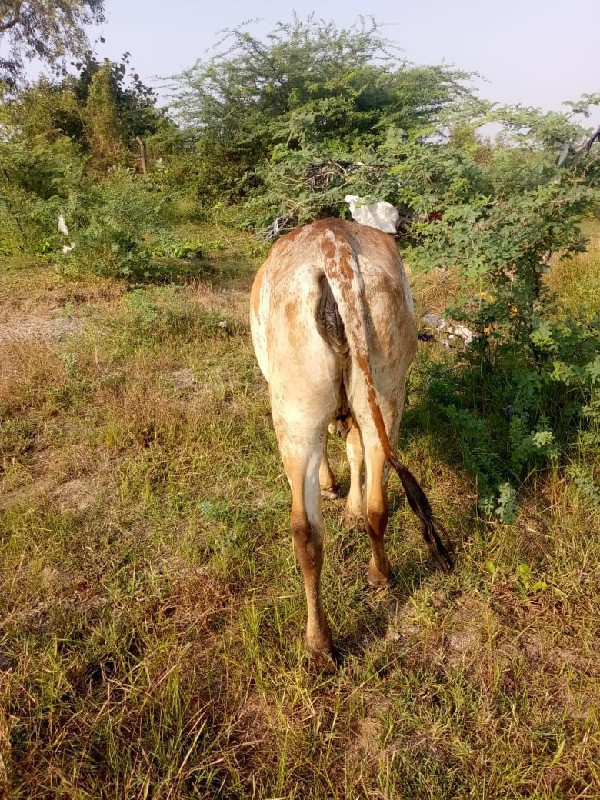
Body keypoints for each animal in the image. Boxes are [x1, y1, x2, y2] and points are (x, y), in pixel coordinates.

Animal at [250, 217, 454, 664]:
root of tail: (335, 249)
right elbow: (356, 452)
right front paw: (354, 513)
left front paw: (333, 489)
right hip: (386, 394)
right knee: (370, 501)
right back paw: (376, 578)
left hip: (293, 412)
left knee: (307, 526)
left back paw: (319, 642)